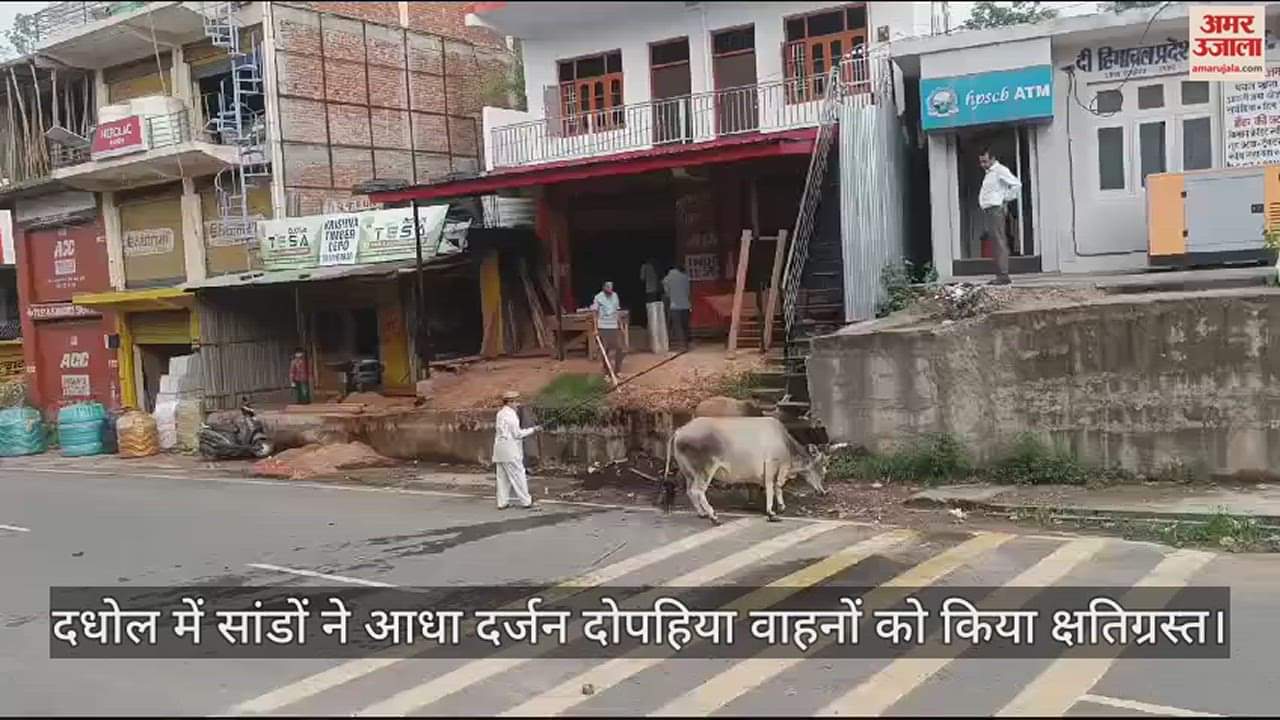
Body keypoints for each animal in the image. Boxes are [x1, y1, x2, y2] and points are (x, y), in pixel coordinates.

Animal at [663, 416, 826, 524]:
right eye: (821, 467)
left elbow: (777, 487)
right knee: (698, 491)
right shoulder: (771, 466)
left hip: (688, 472)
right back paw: (713, 516)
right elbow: (772, 487)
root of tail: (680, 430)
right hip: (705, 470)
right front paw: (771, 513)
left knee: (690, 490)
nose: (823, 492)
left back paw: (702, 513)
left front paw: (781, 506)